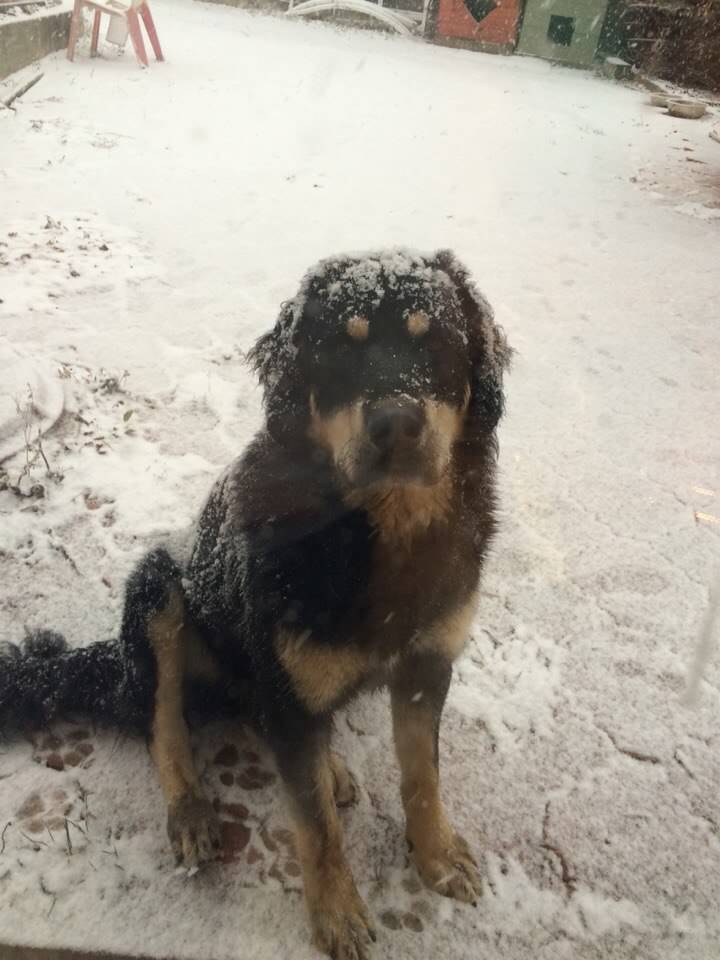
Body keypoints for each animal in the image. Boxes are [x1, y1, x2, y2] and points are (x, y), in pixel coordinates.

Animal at [0, 249, 510, 960]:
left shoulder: (426, 665)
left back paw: (332, 767)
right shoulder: (290, 688)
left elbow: (423, 776)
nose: (397, 424)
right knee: (166, 725)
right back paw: (192, 811)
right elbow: (316, 829)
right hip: (159, 591)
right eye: (340, 352)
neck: (382, 531)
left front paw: (436, 855)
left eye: (434, 344)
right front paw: (338, 914)